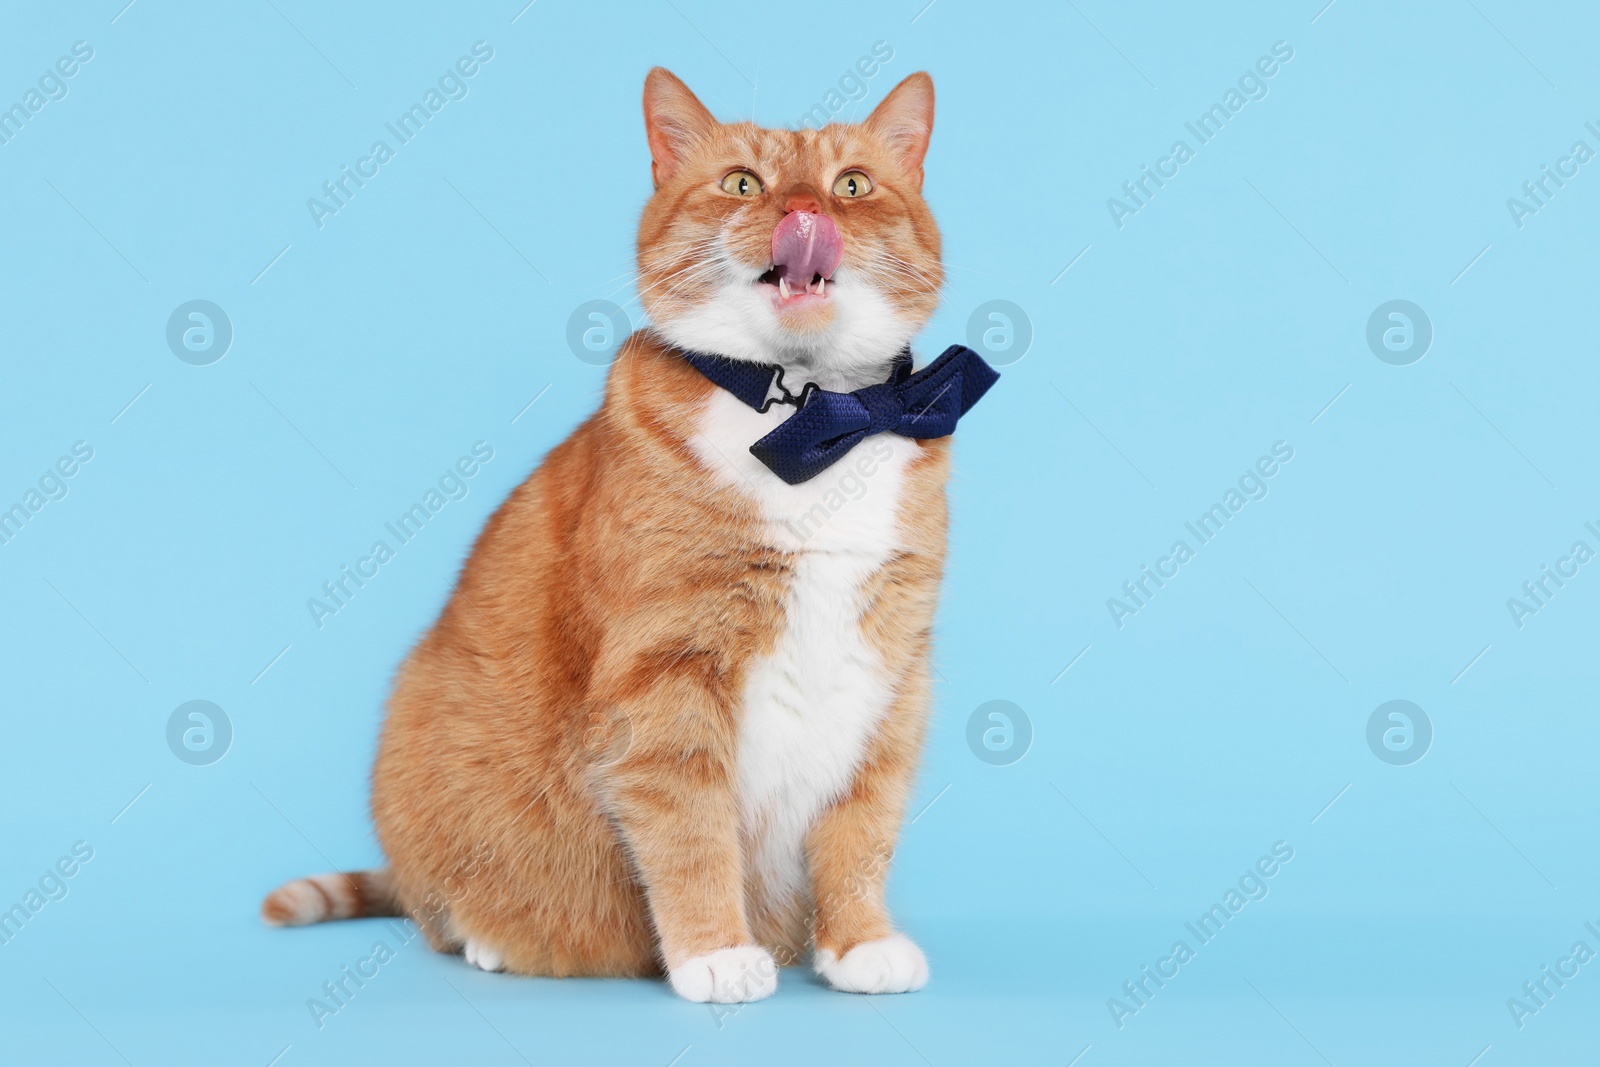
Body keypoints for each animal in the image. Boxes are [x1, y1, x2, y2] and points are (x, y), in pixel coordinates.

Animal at [262, 64, 992, 1004]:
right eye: (743, 184)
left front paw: (859, 940)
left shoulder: (891, 676)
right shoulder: (664, 677)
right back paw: (493, 938)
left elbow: (862, 824)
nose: (805, 213)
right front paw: (715, 950)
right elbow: (689, 829)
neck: (812, 414)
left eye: (853, 185)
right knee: (442, 914)